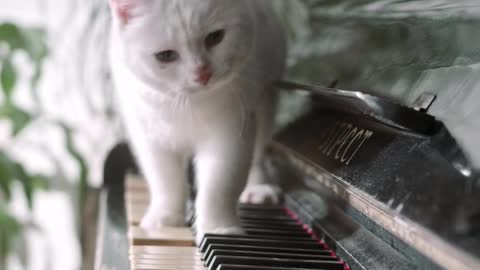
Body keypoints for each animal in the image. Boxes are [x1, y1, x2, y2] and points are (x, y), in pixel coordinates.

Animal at [109, 0, 286, 243]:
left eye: (215, 37)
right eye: (166, 56)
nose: (202, 73)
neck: (187, 105)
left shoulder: (230, 135)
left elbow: (219, 186)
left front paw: (219, 229)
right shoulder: (149, 138)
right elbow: (165, 181)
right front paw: (165, 217)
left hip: (266, 101)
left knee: (258, 154)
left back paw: (259, 188)